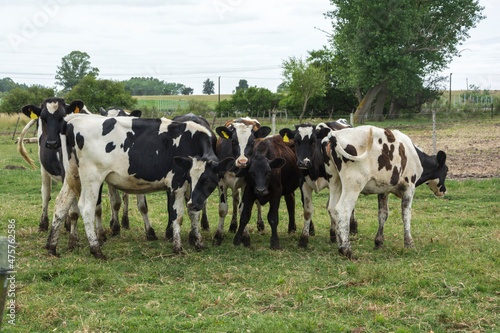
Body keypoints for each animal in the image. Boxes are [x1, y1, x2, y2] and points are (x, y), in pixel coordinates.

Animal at [320, 124, 450, 256]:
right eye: (446, 169)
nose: (444, 190)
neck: (414, 155)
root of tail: (333, 136)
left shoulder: (383, 189)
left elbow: (383, 214)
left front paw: (378, 242)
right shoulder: (409, 187)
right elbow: (406, 214)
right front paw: (409, 244)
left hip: (335, 182)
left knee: (332, 208)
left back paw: (339, 243)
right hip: (353, 184)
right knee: (342, 210)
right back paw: (346, 249)